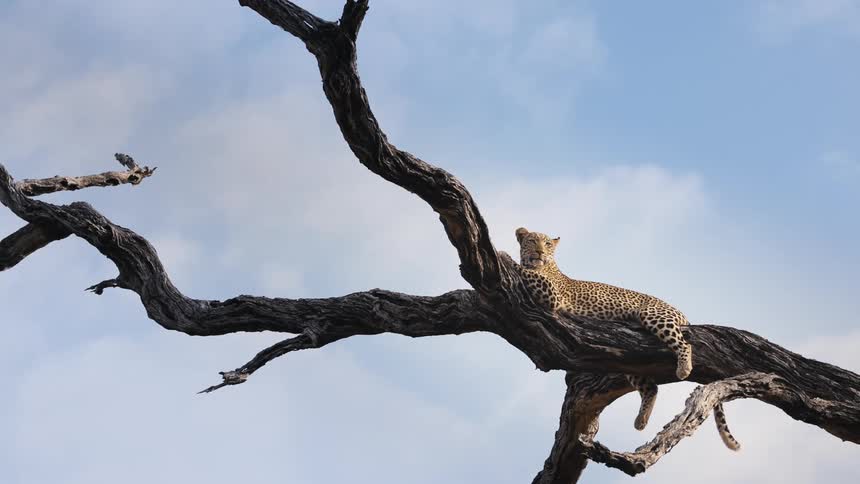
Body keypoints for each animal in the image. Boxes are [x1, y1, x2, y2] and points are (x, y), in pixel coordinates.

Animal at [502, 227, 740, 450]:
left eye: (548, 244)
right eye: (532, 241)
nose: (540, 252)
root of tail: (681, 313)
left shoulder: (552, 296)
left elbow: (525, 271)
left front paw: (504, 255)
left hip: (654, 316)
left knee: (685, 344)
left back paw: (683, 369)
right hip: (628, 358)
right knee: (651, 388)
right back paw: (641, 421)